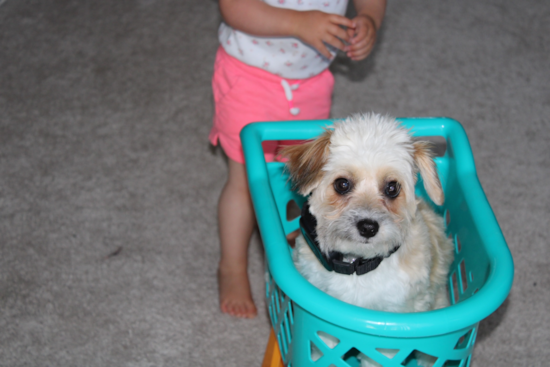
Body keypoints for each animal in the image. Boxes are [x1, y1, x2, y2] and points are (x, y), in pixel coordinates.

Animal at [282, 113, 454, 366]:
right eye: (342, 184)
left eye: (392, 188)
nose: (368, 227)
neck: (358, 267)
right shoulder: (325, 326)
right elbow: (323, 353)